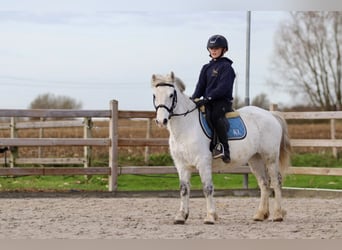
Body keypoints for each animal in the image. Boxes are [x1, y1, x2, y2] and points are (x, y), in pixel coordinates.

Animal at [152, 72, 292, 225]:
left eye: (171, 95)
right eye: (154, 95)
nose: (161, 121)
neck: (186, 127)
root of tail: (270, 114)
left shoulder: (203, 162)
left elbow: (207, 188)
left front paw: (210, 217)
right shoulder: (182, 165)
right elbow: (184, 189)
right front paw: (181, 216)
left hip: (270, 158)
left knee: (276, 182)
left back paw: (278, 215)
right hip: (255, 159)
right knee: (264, 183)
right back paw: (260, 214)